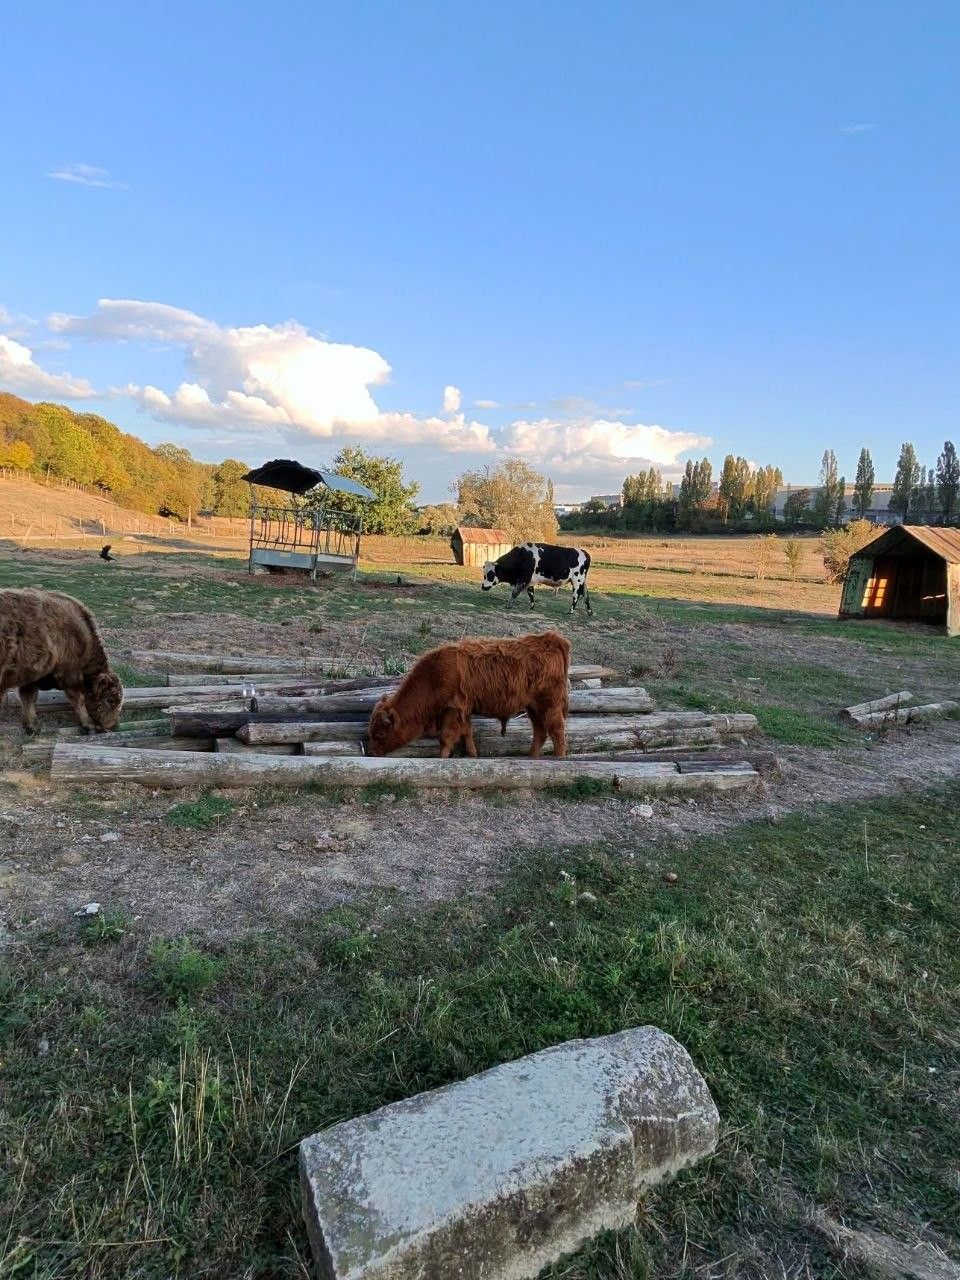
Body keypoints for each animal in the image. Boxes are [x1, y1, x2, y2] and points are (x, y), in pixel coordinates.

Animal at [0, 589, 124, 735]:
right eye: (110, 700)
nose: (115, 726)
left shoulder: (31, 676)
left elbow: (28, 697)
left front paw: (32, 726)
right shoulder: (70, 672)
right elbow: (78, 698)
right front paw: (88, 726)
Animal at [368, 631, 570, 759]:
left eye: (380, 733)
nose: (371, 752)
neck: (435, 676)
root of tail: (552, 639)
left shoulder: (454, 709)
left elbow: (446, 737)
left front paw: (441, 757)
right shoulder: (464, 710)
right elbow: (467, 731)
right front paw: (472, 753)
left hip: (549, 705)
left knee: (557, 730)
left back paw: (559, 758)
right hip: (533, 707)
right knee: (540, 731)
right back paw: (532, 757)